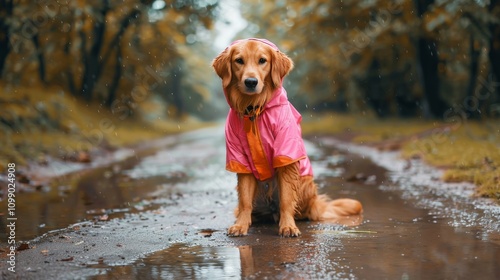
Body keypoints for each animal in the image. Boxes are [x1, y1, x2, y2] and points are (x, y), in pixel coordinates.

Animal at [212, 38, 364, 237]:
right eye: (239, 61)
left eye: (262, 60)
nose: (251, 82)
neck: (254, 110)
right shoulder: (239, 158)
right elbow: (245, 200)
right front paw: (241, 225)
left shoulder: (286, 154)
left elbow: (286, 199)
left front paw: (288, 226)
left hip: (305, 184)